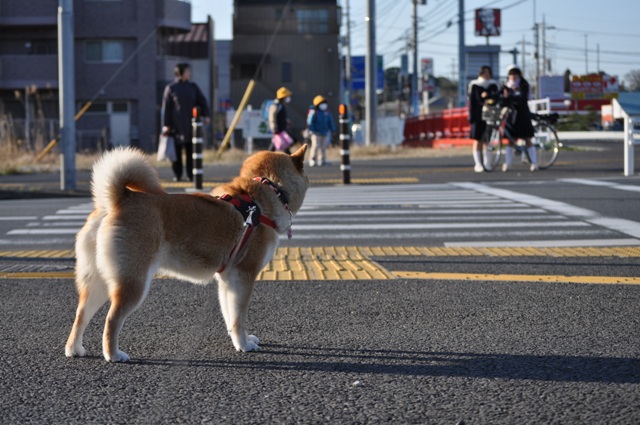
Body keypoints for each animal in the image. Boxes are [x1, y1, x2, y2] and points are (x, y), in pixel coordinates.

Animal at [63, 144, 308, 360]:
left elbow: (230, 314)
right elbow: (239, 316)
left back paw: (74, 349)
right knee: (112, 320)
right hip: (133, 283)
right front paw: (244, 345)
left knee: (80, 315)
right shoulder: (244, 275)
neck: (267, 195)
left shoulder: (228, 279)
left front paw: (240, 339)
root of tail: (117, 200)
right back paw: (113, 355)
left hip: (98, 283)